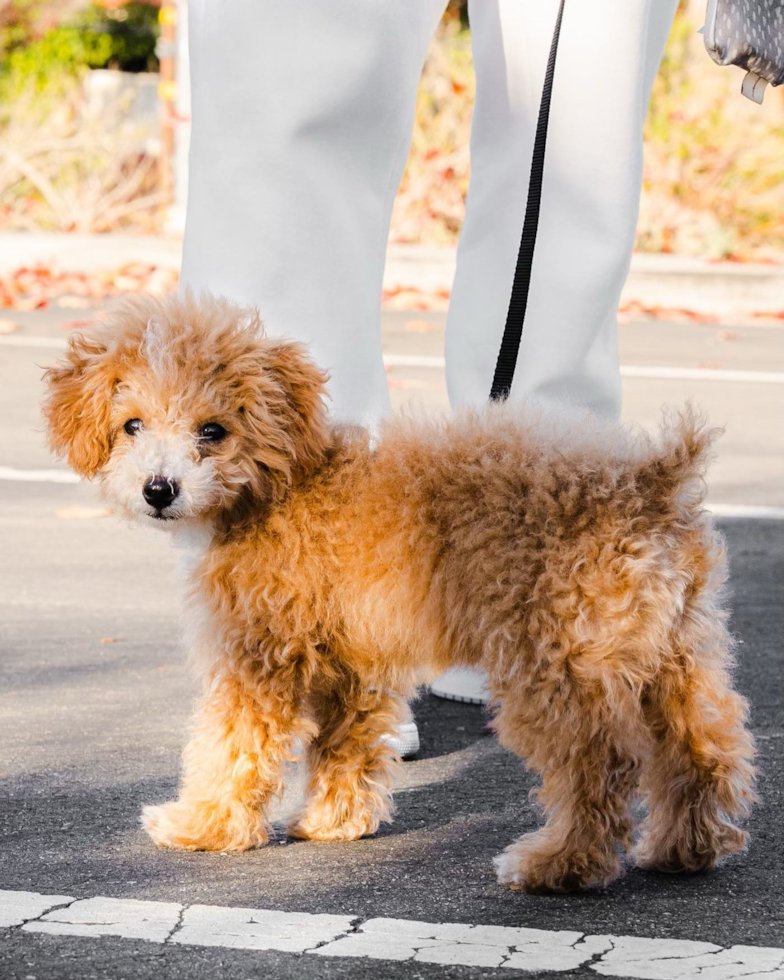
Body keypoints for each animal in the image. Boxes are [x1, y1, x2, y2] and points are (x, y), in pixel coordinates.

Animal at [41, 288, 752, 892]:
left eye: (212, 431)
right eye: (132, 426)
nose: (158, 489)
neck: (278, 485)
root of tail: (650, 485)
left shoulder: (259, 654)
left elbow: (231, 747)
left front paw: (201, 826)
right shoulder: (353, 662)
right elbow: (344, 744)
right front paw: (332, 823)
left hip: (560, 661)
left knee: (599, 763)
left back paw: (558, 866)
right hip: (673, 651)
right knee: (702, 748)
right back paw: (684, 849)